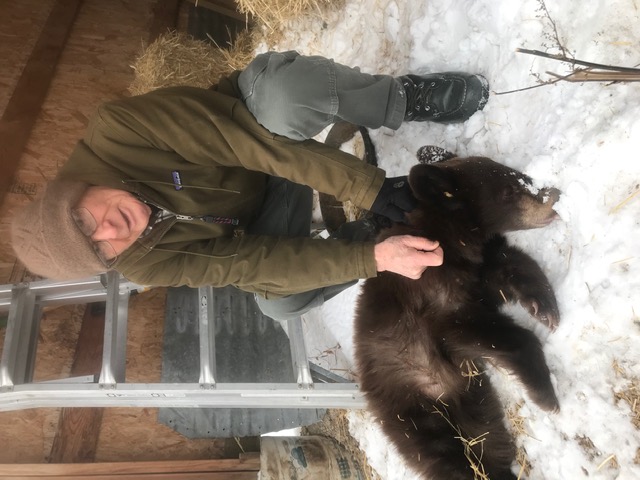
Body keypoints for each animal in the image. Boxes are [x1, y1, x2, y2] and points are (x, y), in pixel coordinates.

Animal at [354, 151, 561, 480]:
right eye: (508, 192)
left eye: (520, 176)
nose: (553, 194)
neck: (450, 236)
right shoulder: (433, 295)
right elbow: (476, 329)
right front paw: (546, 395)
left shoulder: (480, 265)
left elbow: (512, 264)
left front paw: (544, 307)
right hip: (414, 410)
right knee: (446, 454)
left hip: (473, 395)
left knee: (488, 436)